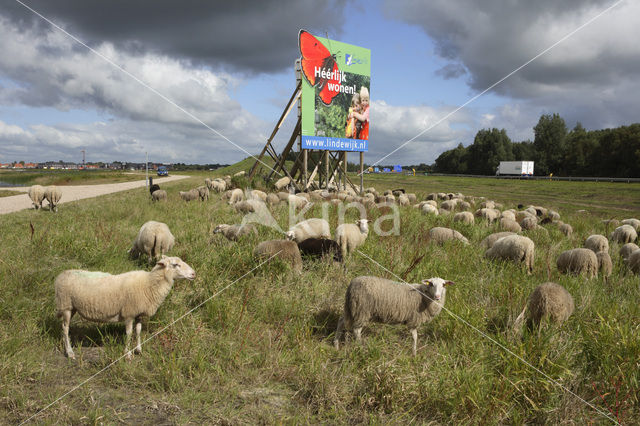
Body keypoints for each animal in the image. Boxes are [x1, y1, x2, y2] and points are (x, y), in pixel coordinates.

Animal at [54, 256, 195, 360]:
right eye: (175, 265)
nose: (194, 273)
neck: (149, 284)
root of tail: (61, 275)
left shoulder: (138, 314)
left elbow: (138, 331)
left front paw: (139, 350)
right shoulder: (129, 313)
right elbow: (129, 333)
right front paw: (127, 354)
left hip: (72, 307)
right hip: (65, 306)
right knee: (65, 328)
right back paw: (70, 352)